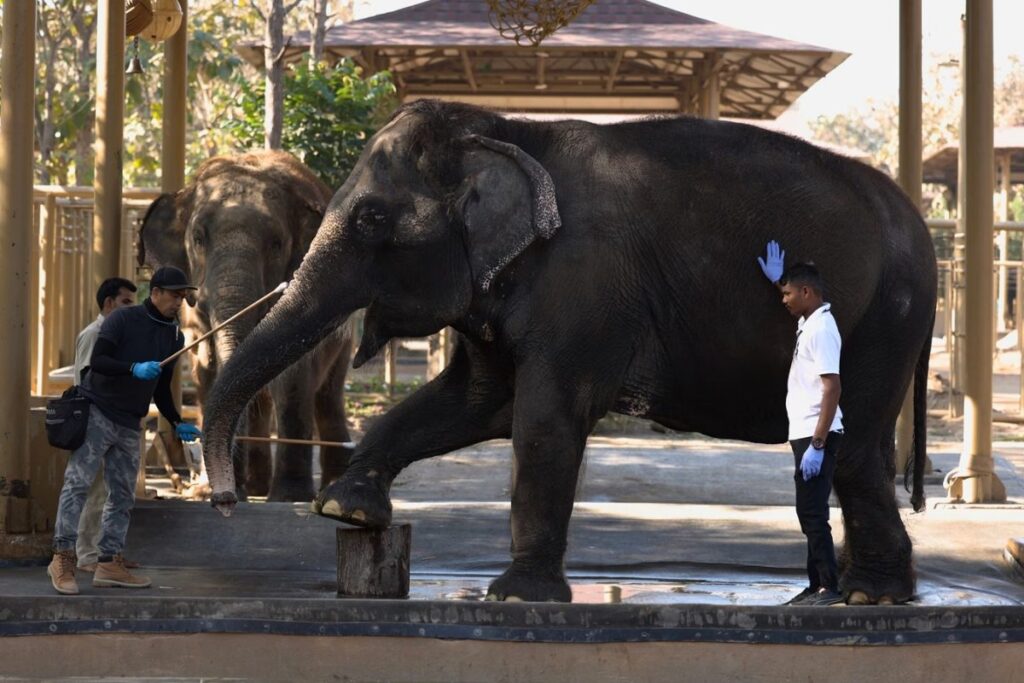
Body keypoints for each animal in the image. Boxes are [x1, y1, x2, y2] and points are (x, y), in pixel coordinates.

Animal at [138, 149, 352, 501]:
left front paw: (289, 497)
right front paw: (213, 490)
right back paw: (256, 487)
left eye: (277, 243)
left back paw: (328, 488)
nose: (224, 493)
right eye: (198, 239)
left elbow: (293, 379)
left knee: (327, 396)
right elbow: (208, 369)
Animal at [197, 100, 937, 602]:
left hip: (880, 319)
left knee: (855, 449)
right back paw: (858, 591)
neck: (508, 130)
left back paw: (867, 596)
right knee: (857, 453)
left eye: (372, 219)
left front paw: (515, 595)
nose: (226, 502)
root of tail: (920, 226)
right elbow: (470, 401)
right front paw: (346, 508)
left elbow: (543, 419)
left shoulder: (584, 282)